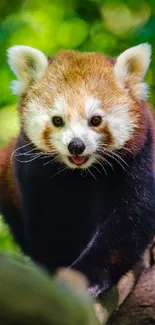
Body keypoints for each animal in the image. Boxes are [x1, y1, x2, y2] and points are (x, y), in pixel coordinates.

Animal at [0, 43, 155, 296]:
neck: (81, 174)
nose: (76, 145)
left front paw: (86, 277)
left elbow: (127, 223)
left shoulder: (139, 161)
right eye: (57, 120)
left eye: (95, 120)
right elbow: (47, 228)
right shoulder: (32, 173)